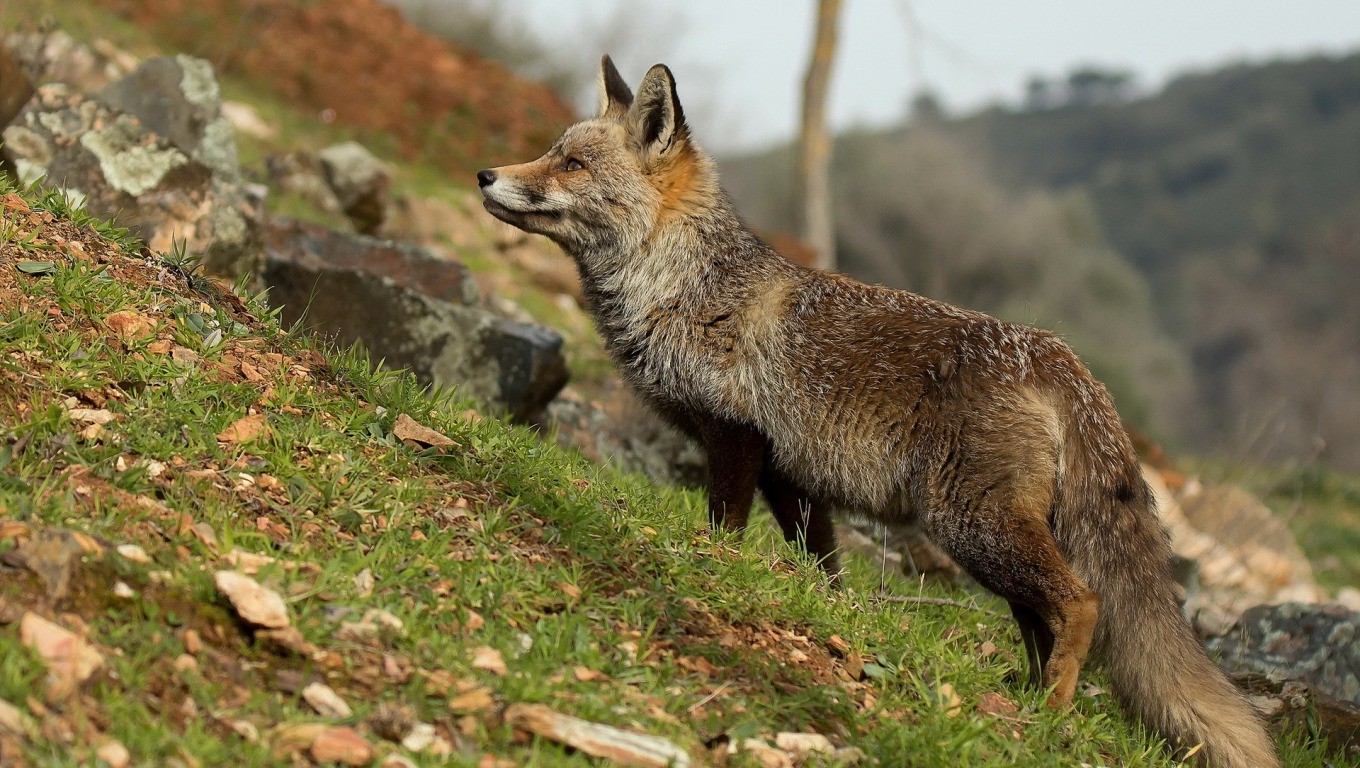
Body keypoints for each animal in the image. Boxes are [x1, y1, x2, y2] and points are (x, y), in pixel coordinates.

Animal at [477, 55, 1279, 768]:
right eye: (552, 154)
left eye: (571, 165)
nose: (486, 175)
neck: (686, 290)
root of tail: (1058, 354)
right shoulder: (790, 475)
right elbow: (825, 570)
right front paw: (822, 617)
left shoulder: (735, 440)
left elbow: (723, 532)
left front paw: (712, 570)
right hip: (997, 541)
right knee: (1042, 621)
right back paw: (1027, 696)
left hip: (972, 527)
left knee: (1081, 603)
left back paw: (1050, 713)